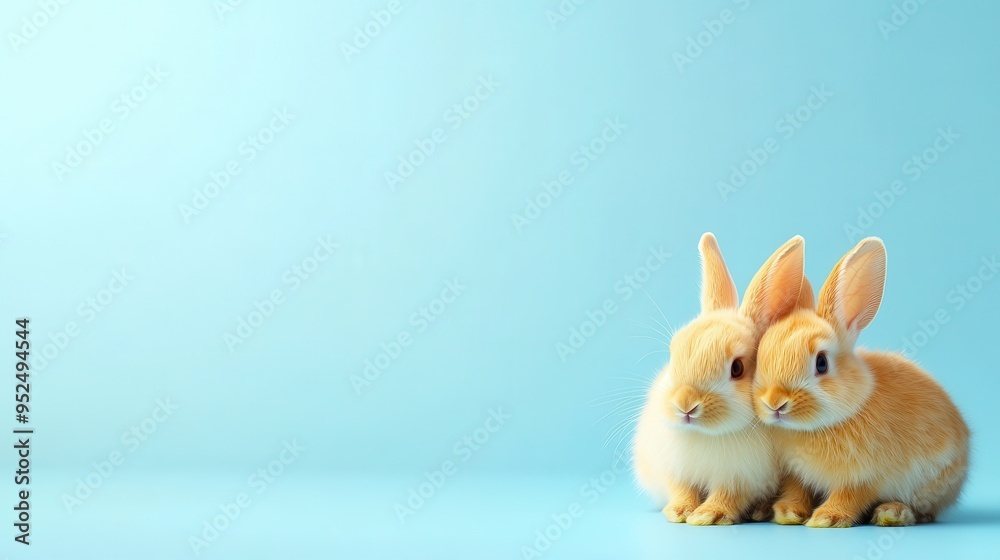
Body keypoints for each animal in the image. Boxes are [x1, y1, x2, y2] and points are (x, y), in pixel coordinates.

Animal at [633, 233, 806, 525]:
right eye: (673, 352)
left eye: (737, 368)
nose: (685, 404)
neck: (706, 434)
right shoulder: (675, 471)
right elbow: (682, 490)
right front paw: (679, 511)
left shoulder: (740, 478)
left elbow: (728, 496)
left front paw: (708, 515)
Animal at [752, 237, 970, 527]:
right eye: (759, 357)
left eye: (822, 363)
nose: (775, 402)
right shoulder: (796, 475)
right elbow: (797, 490)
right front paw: (787, 513)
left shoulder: (864, 478)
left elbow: (850, 496)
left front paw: (827, 518)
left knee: (924, 511)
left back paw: (893, 513)